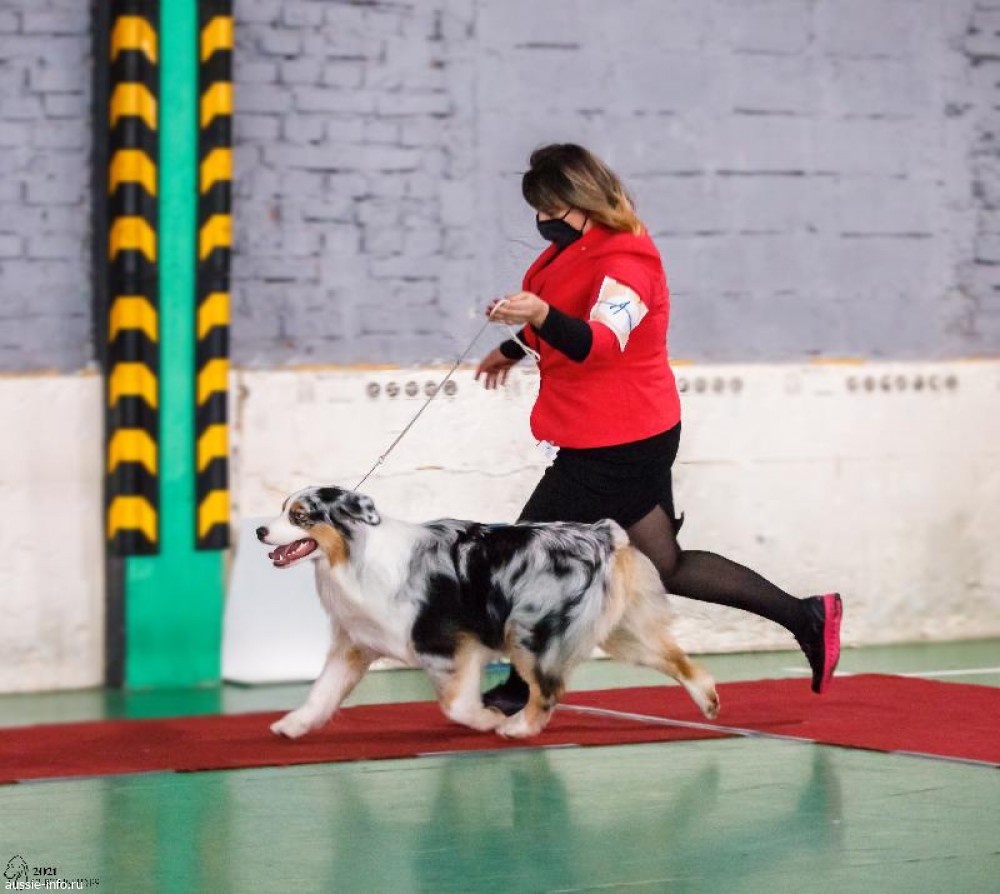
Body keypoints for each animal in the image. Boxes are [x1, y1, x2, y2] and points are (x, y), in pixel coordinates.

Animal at [257, 486, 719, 740]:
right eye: (281, 510)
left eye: (299, 516)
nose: (260, 529)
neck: (355, 555)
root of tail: (601, 535)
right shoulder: (355, 643)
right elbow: (322, 691)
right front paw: (294, 725)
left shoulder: (444, 644)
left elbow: (455, 705)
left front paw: (485, 719)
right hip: (620, 631)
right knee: (676, 658)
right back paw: (709, 700)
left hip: (528, 629)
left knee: (548, 689)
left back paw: (519, 728)